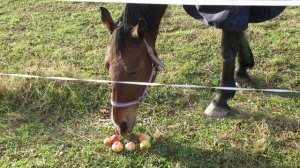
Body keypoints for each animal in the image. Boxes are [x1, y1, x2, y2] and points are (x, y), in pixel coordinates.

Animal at [100, 3, 284, 135]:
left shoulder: (230, 11)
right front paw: (243, 69)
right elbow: (240, 33)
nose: (120, 125)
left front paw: (221, 100)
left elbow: (228, 47)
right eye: (107, 65)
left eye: (133, 71)